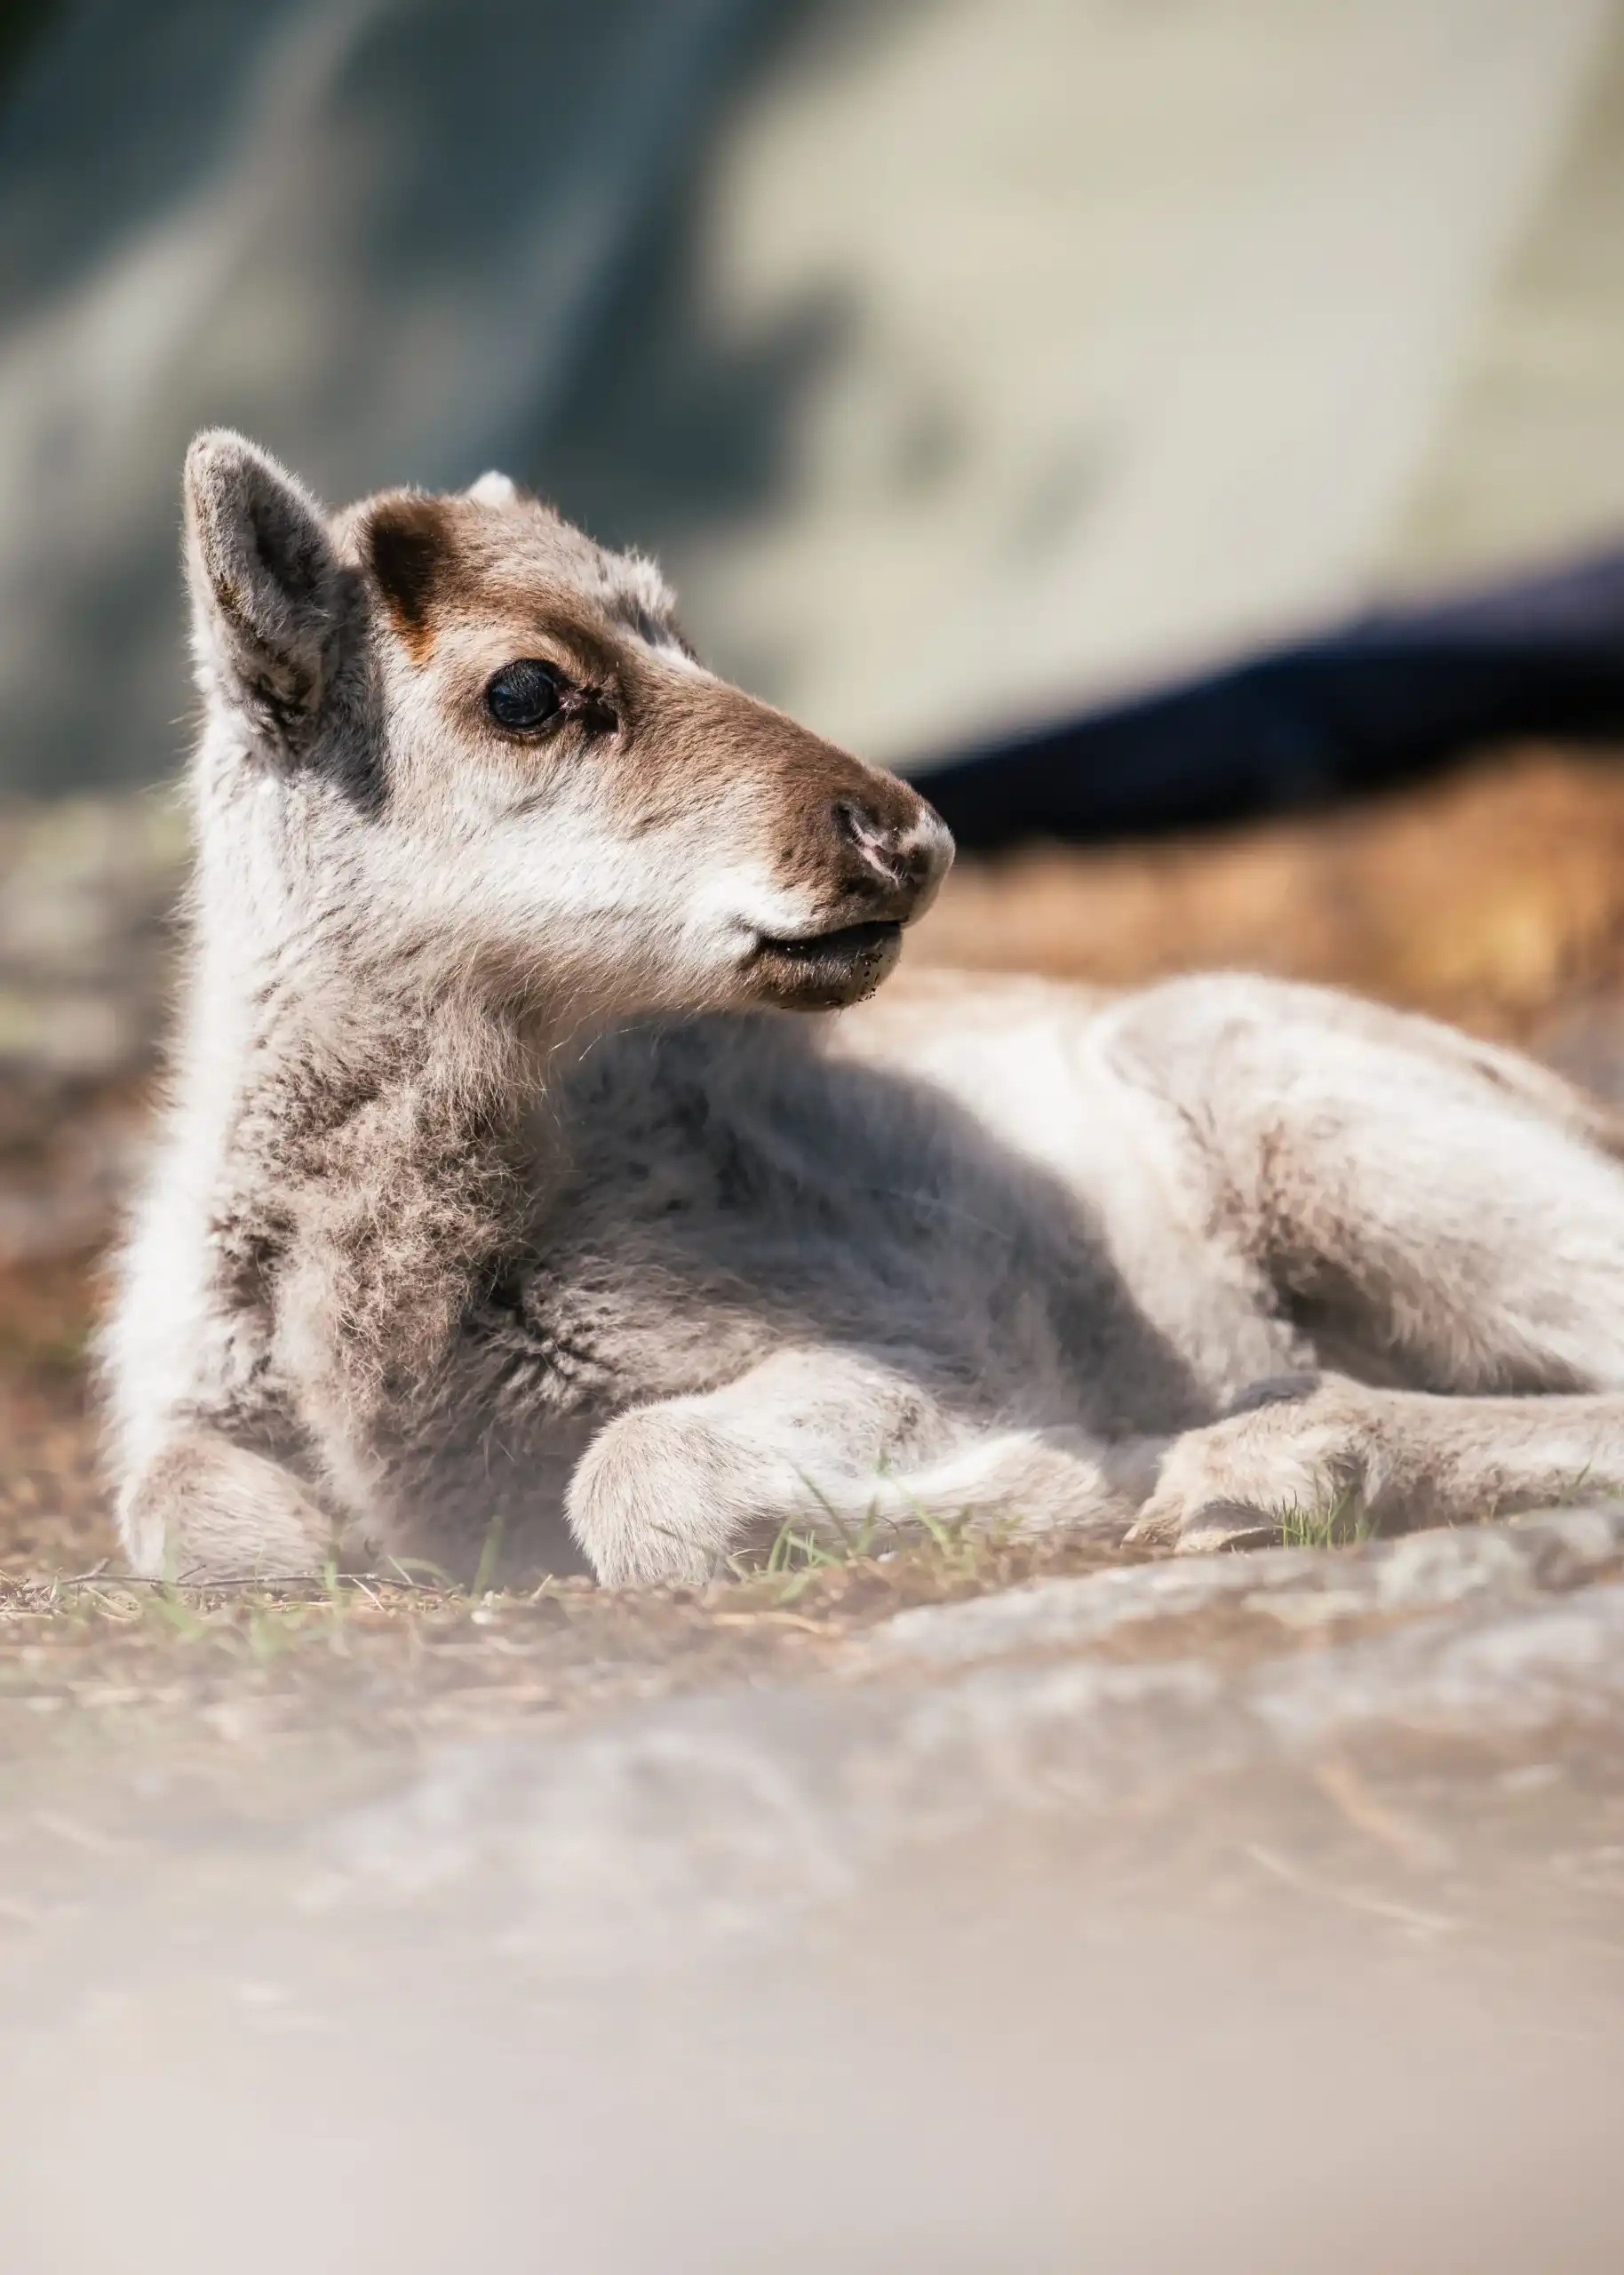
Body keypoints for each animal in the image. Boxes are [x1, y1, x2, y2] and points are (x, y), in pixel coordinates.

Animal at [102, 431, 1624, 1587]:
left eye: (683, 628)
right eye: (524, 689)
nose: (911, 836)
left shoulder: (908, 1340)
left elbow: (638, 1472)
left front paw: (1077, 1478)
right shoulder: (180, 1406)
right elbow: (192, 1528)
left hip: (1327, 1123)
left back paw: (1259, 1465)